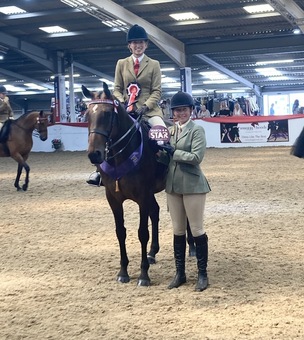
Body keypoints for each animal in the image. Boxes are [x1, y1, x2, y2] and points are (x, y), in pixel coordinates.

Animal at [82, 83, 167, 286]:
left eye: (107, 114)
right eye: (87, 115)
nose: (94, 154)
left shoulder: (143, 196)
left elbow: (142, 232)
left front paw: (144, 275)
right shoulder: (113, 198)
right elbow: (120, 232)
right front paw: (123, 272)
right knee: (155, 212)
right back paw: (152, 253)